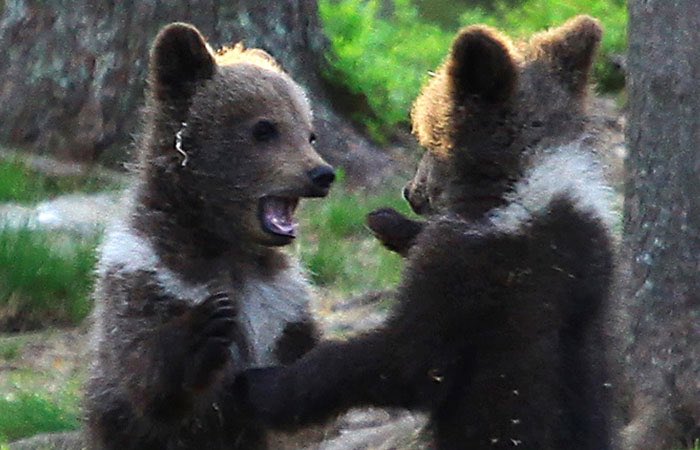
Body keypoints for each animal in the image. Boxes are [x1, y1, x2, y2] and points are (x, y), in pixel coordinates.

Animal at [83, 22, 335, 450]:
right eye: (264, 128)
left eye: (309, 133)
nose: (322, 174)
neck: (223, 244)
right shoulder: (146, 273)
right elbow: (142, 372)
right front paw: (206, 325)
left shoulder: (281, 300)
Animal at [236, 16, 617, 450]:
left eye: (428, 138)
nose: (409, 192)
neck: (517, 187)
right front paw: (388, 222)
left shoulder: (476, 276)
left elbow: (404, 358)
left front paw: (263, 384)